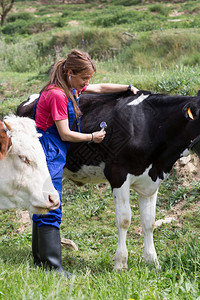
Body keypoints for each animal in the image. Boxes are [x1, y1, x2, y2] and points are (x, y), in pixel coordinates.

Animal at [16, 90, 200, 270]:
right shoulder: (118, 174)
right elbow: (124, 220)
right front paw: (120, 263)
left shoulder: (151, 181)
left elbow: (149, 222)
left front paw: (152, 262)